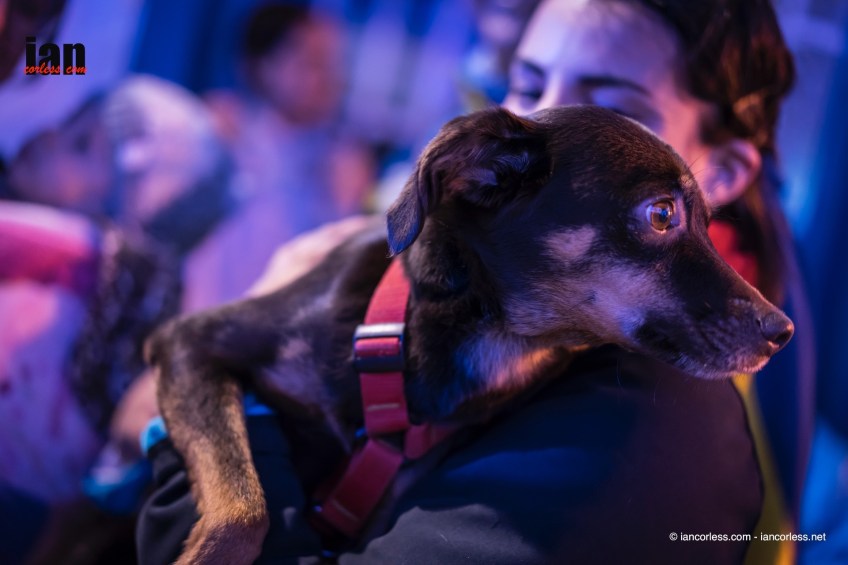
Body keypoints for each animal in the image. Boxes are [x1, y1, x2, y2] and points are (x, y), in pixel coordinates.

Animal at [147, 105, 794, 564]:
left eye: (711, 225)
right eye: (662, 215)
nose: (783, 331)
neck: (491, 337)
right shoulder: (188, 341)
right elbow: (241, 511)